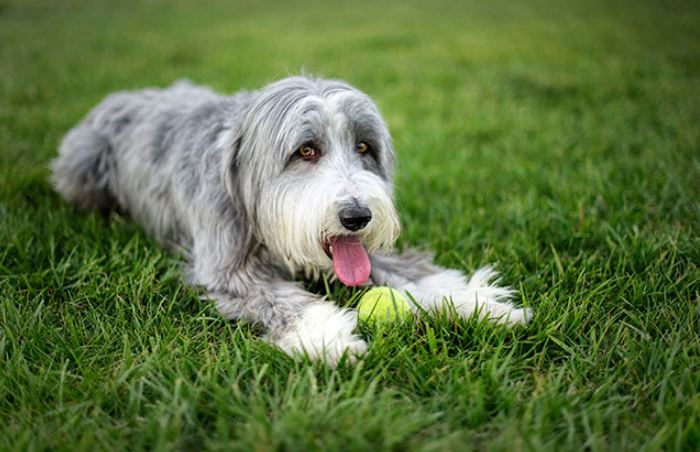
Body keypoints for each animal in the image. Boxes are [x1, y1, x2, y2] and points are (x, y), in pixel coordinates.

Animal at [53, 77, 532, 366]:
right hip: (83, 164)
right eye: (306, 150)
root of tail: (124, 95)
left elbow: (416, 273)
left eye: (363, 147)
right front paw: (331, 337)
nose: (357, 216)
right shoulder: (230, 271)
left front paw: (479, 303)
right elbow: (284, 300)